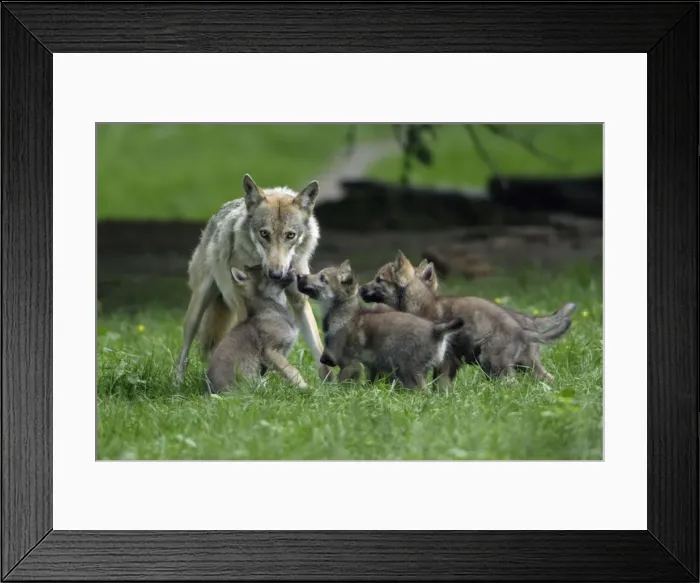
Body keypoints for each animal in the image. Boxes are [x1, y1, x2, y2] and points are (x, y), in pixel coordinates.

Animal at [205, 265, 306, 393]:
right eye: (266, 272)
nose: (291, 266)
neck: (271, 311)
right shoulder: (271, 351)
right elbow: (292, 370)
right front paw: (305, 387)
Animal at [297, 261, 464, 391]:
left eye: (322, 278)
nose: (298, 276)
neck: (343, 316)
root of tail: (436, 330)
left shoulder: (349, 365)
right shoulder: (369, 367)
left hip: (410, 372)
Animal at [359, 252, 575, 386]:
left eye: (378, 279)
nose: (360, 289)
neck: (421, 302)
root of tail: (522, 328)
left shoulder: (444, 359)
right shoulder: (449, 361)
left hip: (494, 363)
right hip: (526, 365)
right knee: (548, 379)